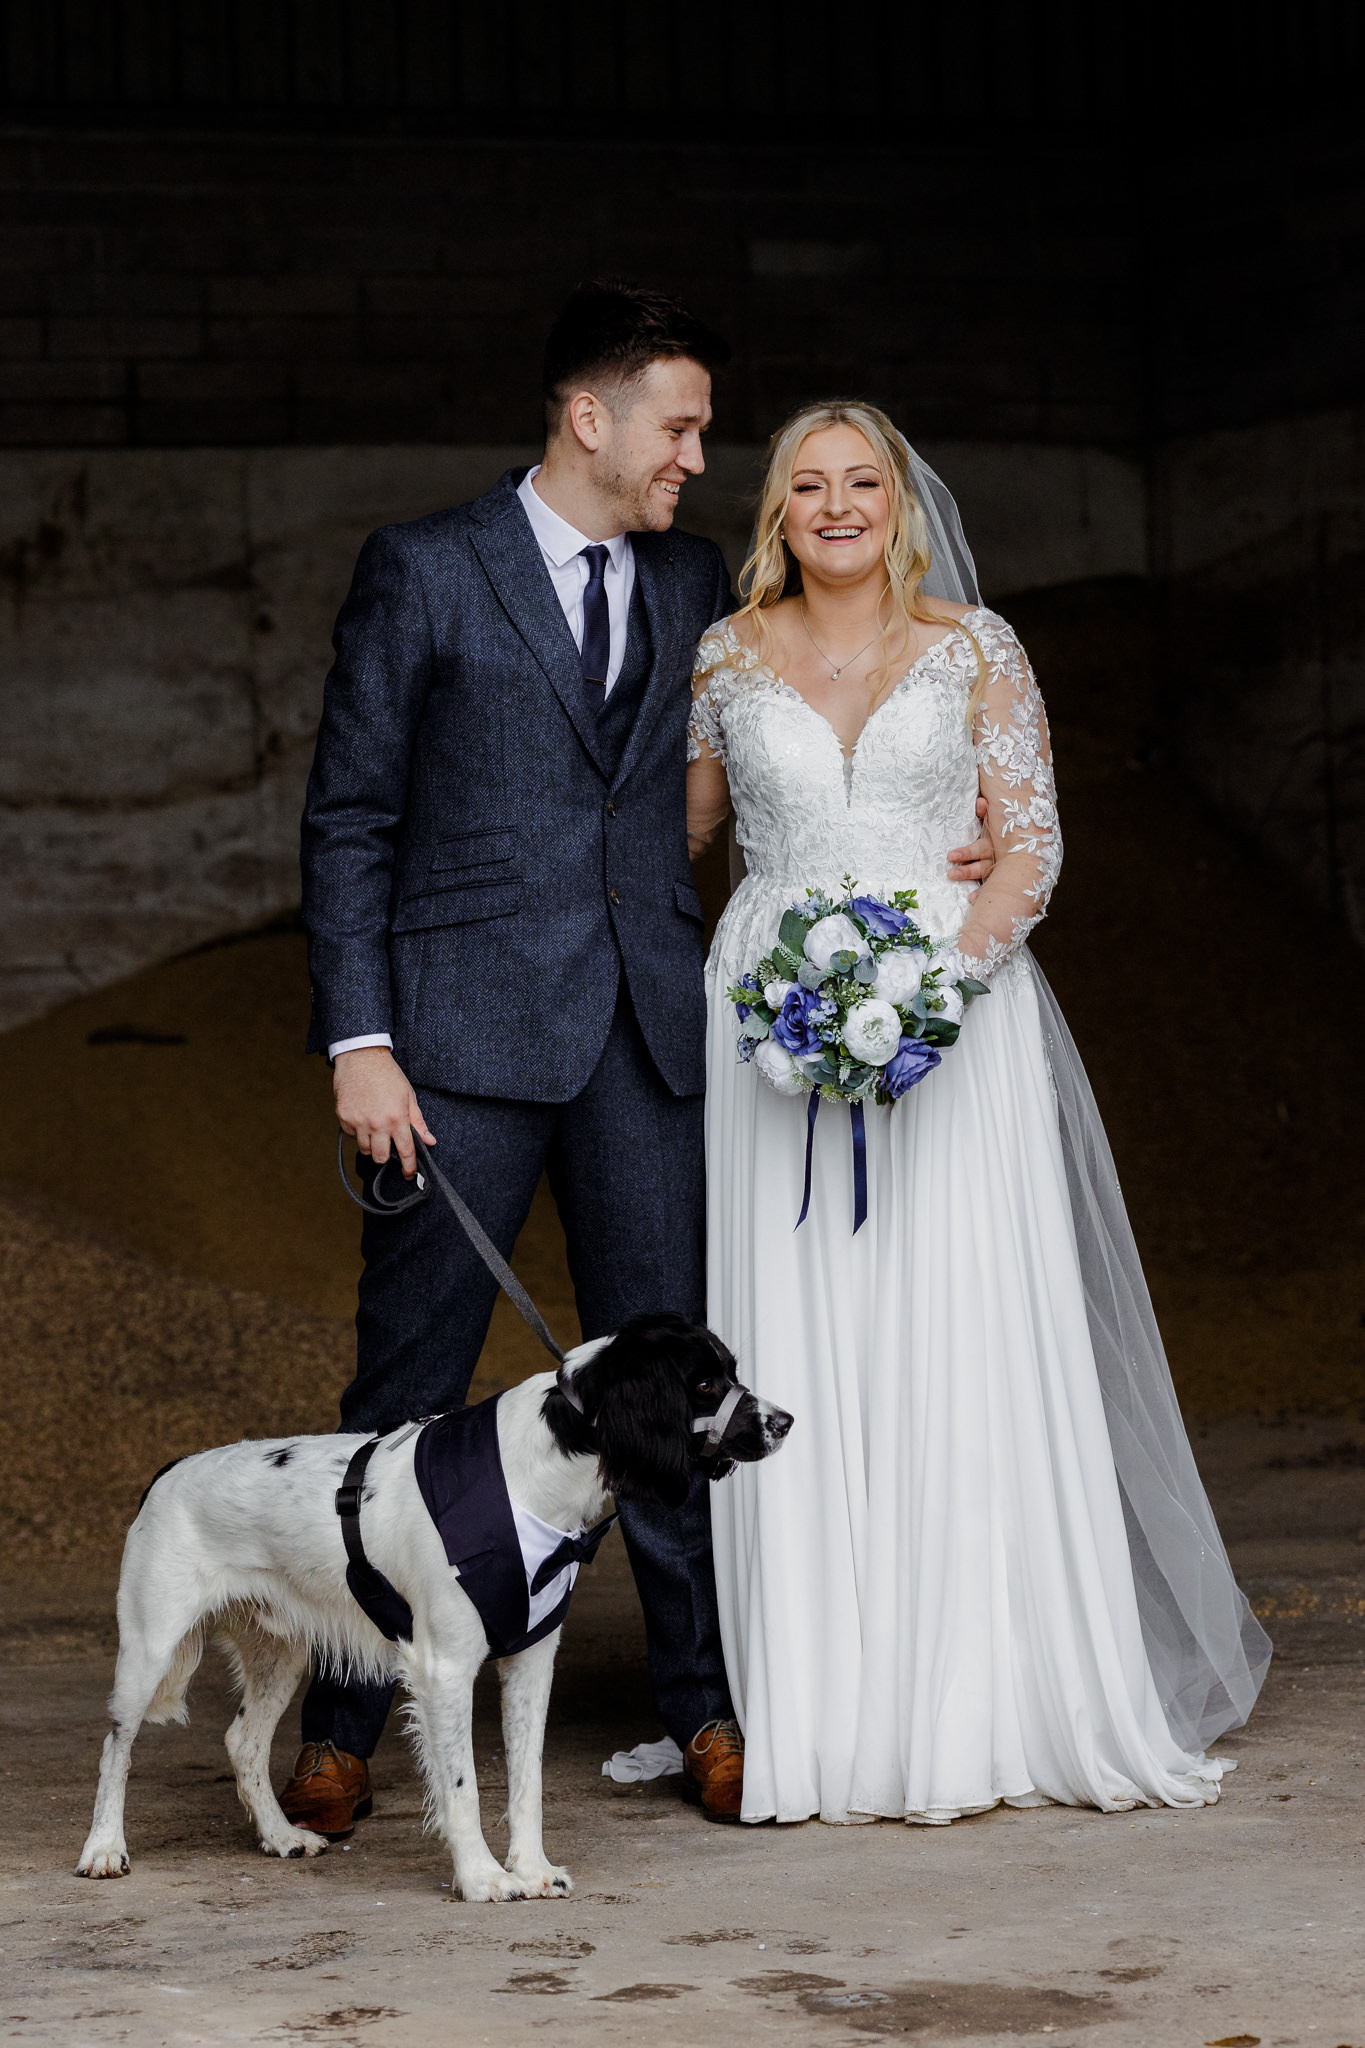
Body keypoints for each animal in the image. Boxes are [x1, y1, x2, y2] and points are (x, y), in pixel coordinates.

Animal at [77, 1310, 789, 1900]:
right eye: (705, 1384)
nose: (784, 1422)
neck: (537, 1473)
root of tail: (167, 1471)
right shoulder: (444, 1667)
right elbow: (462, 1785)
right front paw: (482, 1879)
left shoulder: (530, 1660)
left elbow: (526, 1780)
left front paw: (531, 1869)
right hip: (149, 1649)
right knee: (117, 1747)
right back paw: (104, 1849)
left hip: (279, 1652)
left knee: (242, 1742)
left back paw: (280, 1836)